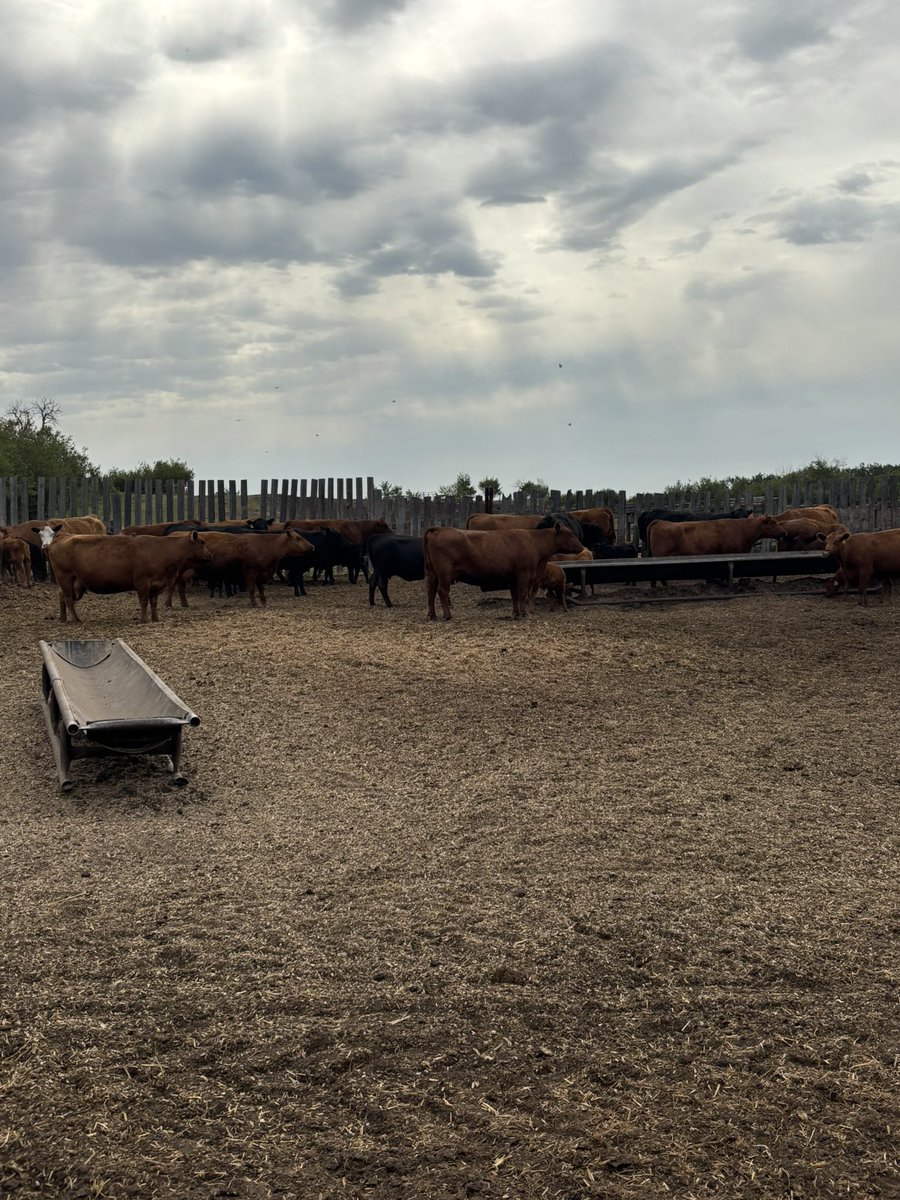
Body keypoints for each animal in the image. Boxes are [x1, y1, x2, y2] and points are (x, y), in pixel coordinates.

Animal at [47, 531, 213, 623]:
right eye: (202, 542)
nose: (210, 556)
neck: (162, 550)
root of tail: (62, 536)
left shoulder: (156, 585)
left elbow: (153, 602)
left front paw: (156, 618)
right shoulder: (142, 582)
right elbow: (144, 602)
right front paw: (144, 620)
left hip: (77, 584)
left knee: (62, 596)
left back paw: (63, 619)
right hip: (65, 578)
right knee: (68, 598)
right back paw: (76, 619)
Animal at [424, 523, 584, 620]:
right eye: (570, 533)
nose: (582, 547)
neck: (534, 542)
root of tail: (439, 528)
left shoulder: (512, 577)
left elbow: (514, 596)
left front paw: (516, 613)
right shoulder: (524, 573)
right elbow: (523, 594)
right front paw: (524, 613)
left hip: (433, 573)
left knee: (431, 592)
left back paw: (432, 615)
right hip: (444, 573)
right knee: (442, 591)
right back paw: (447, 615)